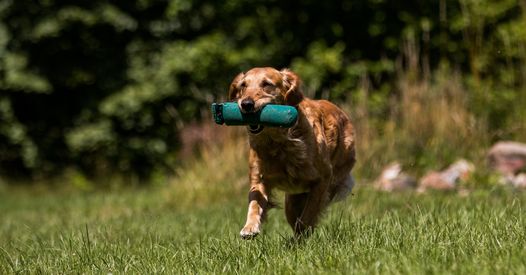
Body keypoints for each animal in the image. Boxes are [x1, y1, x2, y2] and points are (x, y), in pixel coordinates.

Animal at [229, 67, 356, 239]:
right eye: (243, 86)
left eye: (267, 84)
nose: (246, 104)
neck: (278, 142)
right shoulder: (259, 178)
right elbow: (254, 203)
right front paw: (249, 227)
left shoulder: (323, 179)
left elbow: (308, 214)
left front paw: (302, 232)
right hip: (291, 201)